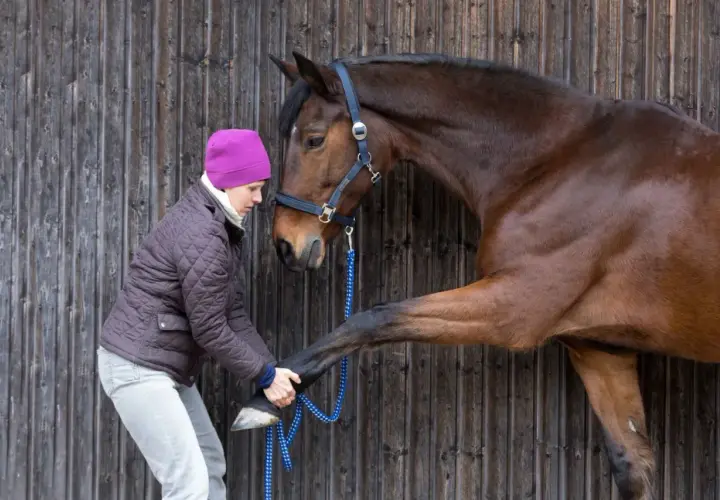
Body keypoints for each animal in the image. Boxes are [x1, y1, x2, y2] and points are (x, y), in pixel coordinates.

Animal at [231, 51, 720, 500]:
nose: (286, 245)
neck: (557, 163)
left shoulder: (513, 309)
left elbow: (372, 319)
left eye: (314, 140)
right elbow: (632, 468)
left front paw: (265, 398)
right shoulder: (601, 350)